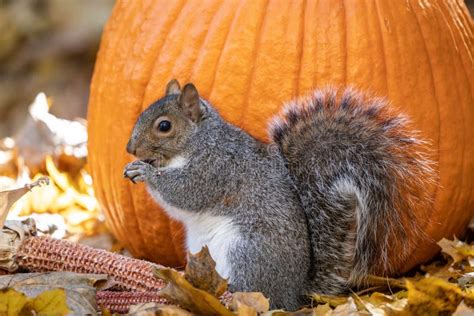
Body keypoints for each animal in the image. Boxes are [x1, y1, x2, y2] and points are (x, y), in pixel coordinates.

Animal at [125, 79, 434, 312]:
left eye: (164, 126)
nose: (130, 149)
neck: (199, 140)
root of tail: (293, 293)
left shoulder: (215, 169)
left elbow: (185, 193)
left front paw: (145, 172)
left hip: (245, 252)